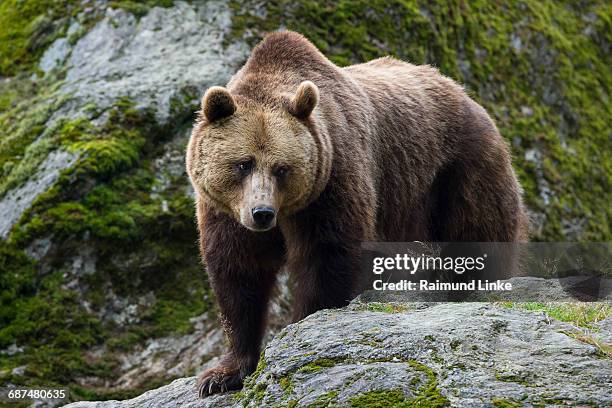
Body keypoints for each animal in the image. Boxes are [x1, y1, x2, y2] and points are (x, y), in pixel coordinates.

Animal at [184, 30, 528, 396]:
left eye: (282, 168)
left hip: (458, 172)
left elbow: (328, 256)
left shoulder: (333, 176)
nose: (261, 213)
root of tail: (465, 94)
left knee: (479, 237)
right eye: (243, 164)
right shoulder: (225, 210)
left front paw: (302, 326)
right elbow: (238, 272)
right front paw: (222, 373)